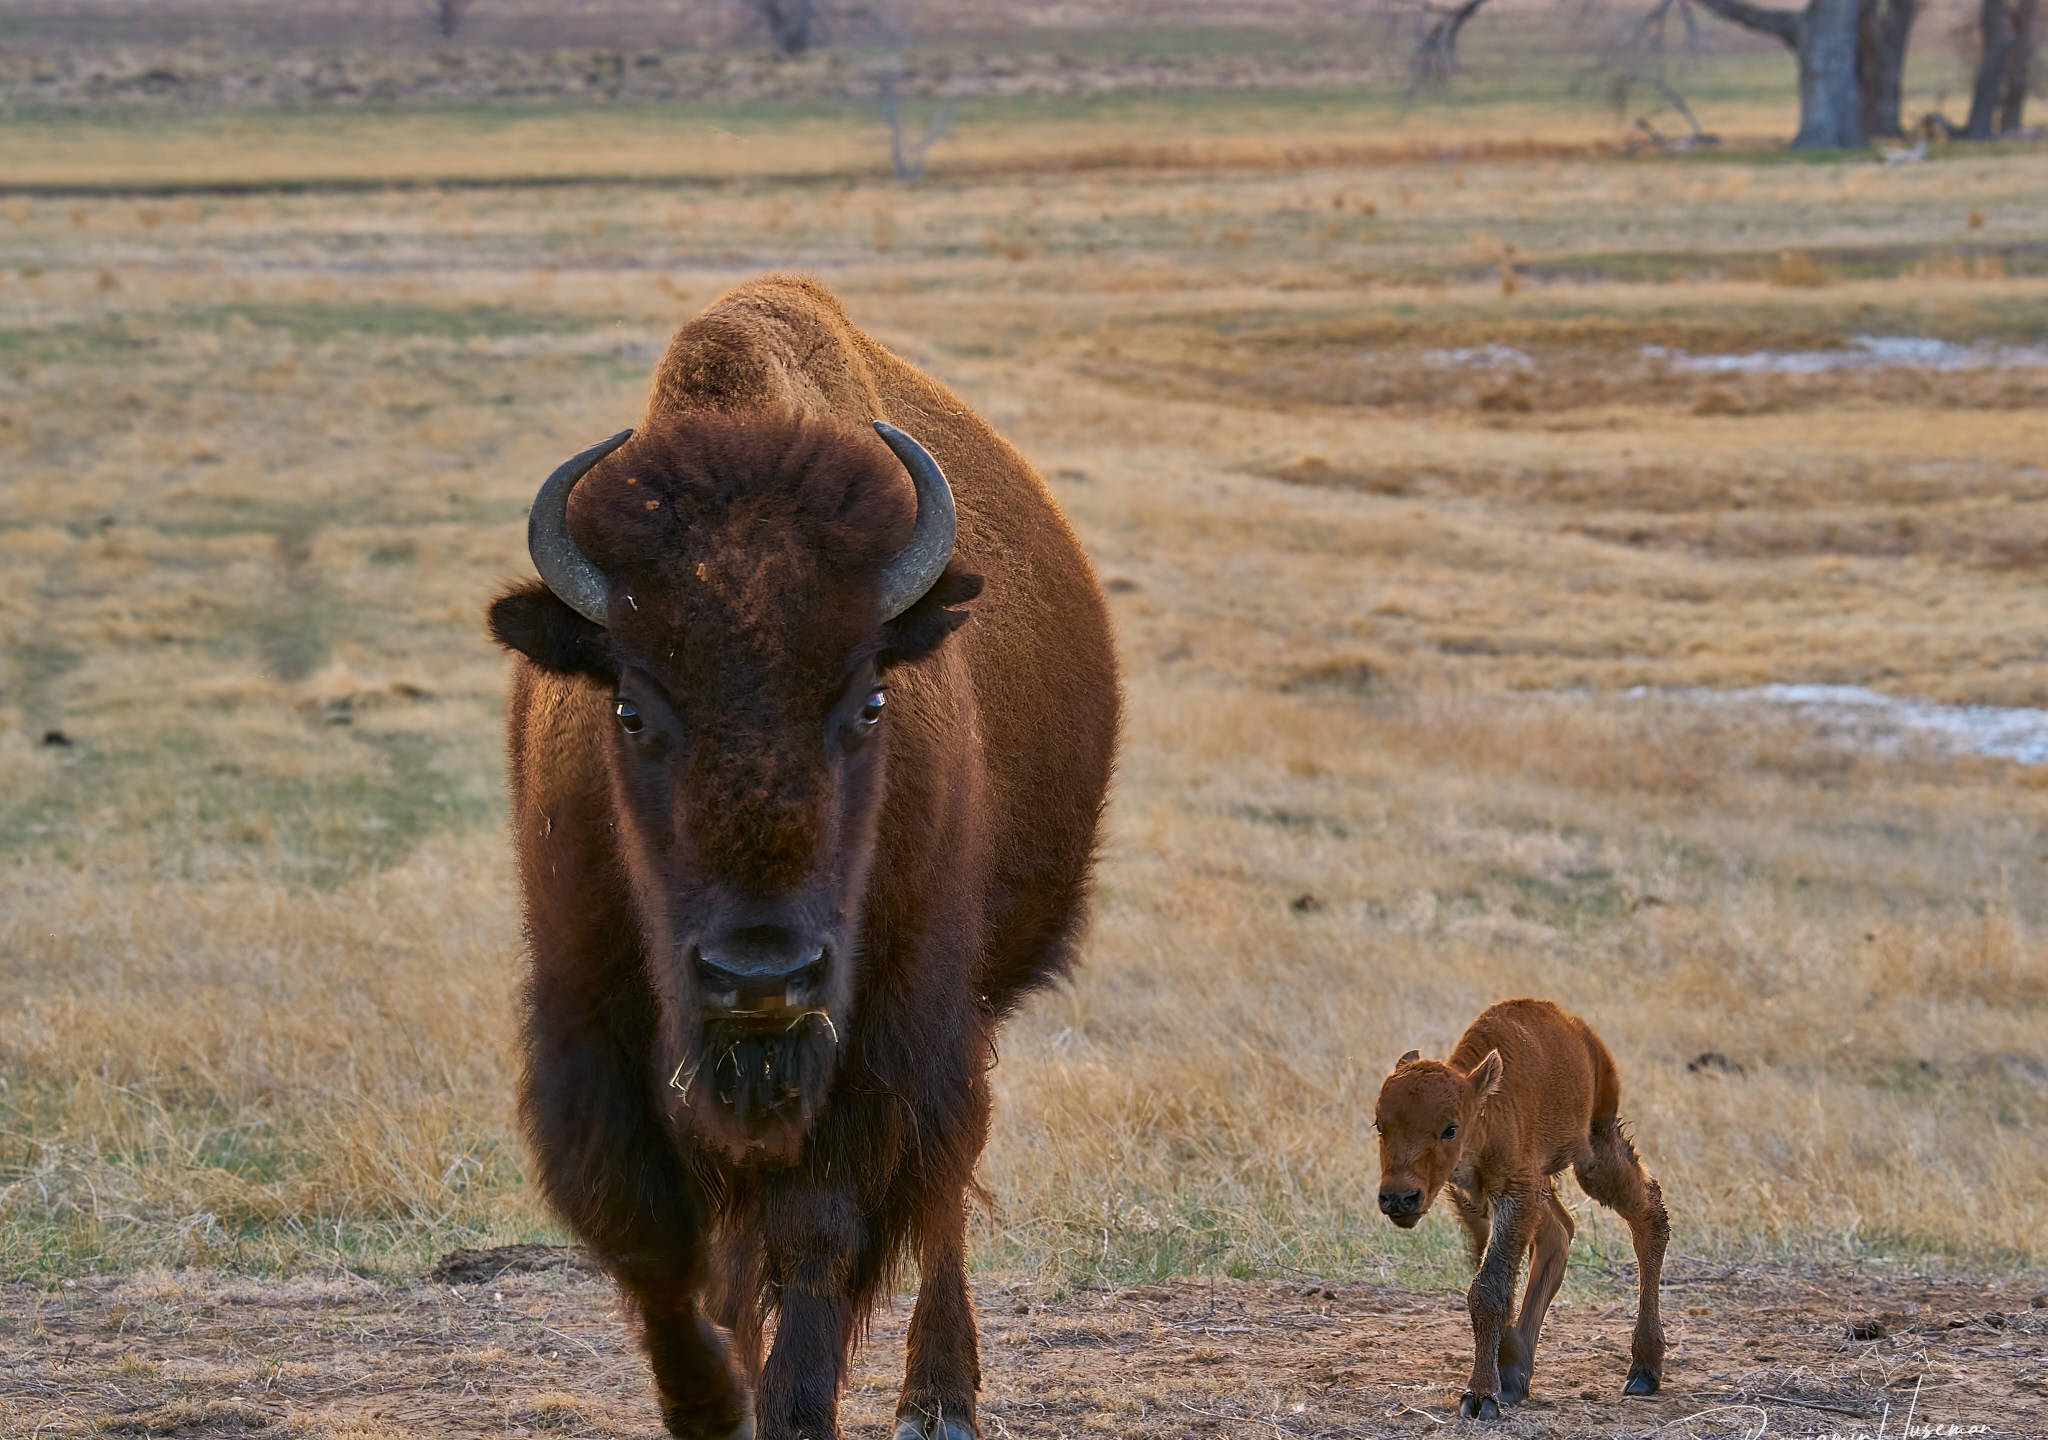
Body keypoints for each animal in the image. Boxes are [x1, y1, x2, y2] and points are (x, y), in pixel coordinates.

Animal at [481, 278, 1122, 1440]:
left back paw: (937, 1397)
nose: (760, 974)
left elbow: (820, 1231)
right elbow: (653, 1239)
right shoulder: (591, 1022)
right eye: (631, 709)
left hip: (966, 1007)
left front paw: (789, 1409)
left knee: (943, 1182)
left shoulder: (886, 1026)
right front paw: (711, 1406)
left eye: (869, 700)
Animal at [1376, 1003, 1662, 1417]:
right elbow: (1492, 1276)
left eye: (1450, 1129)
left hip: (1596, 1150)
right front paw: (1506, 1373)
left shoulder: (1516, 1194)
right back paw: (1517, 1372)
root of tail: (1581, 1032)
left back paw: (1644, 1369)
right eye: (1379, 1125)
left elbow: (1489, 1289)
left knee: (1648, 1212)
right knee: (1559, 1234)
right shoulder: (1474, 1198)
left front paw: (1481, 1396)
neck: (1486, 1108)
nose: (1399, 1197)